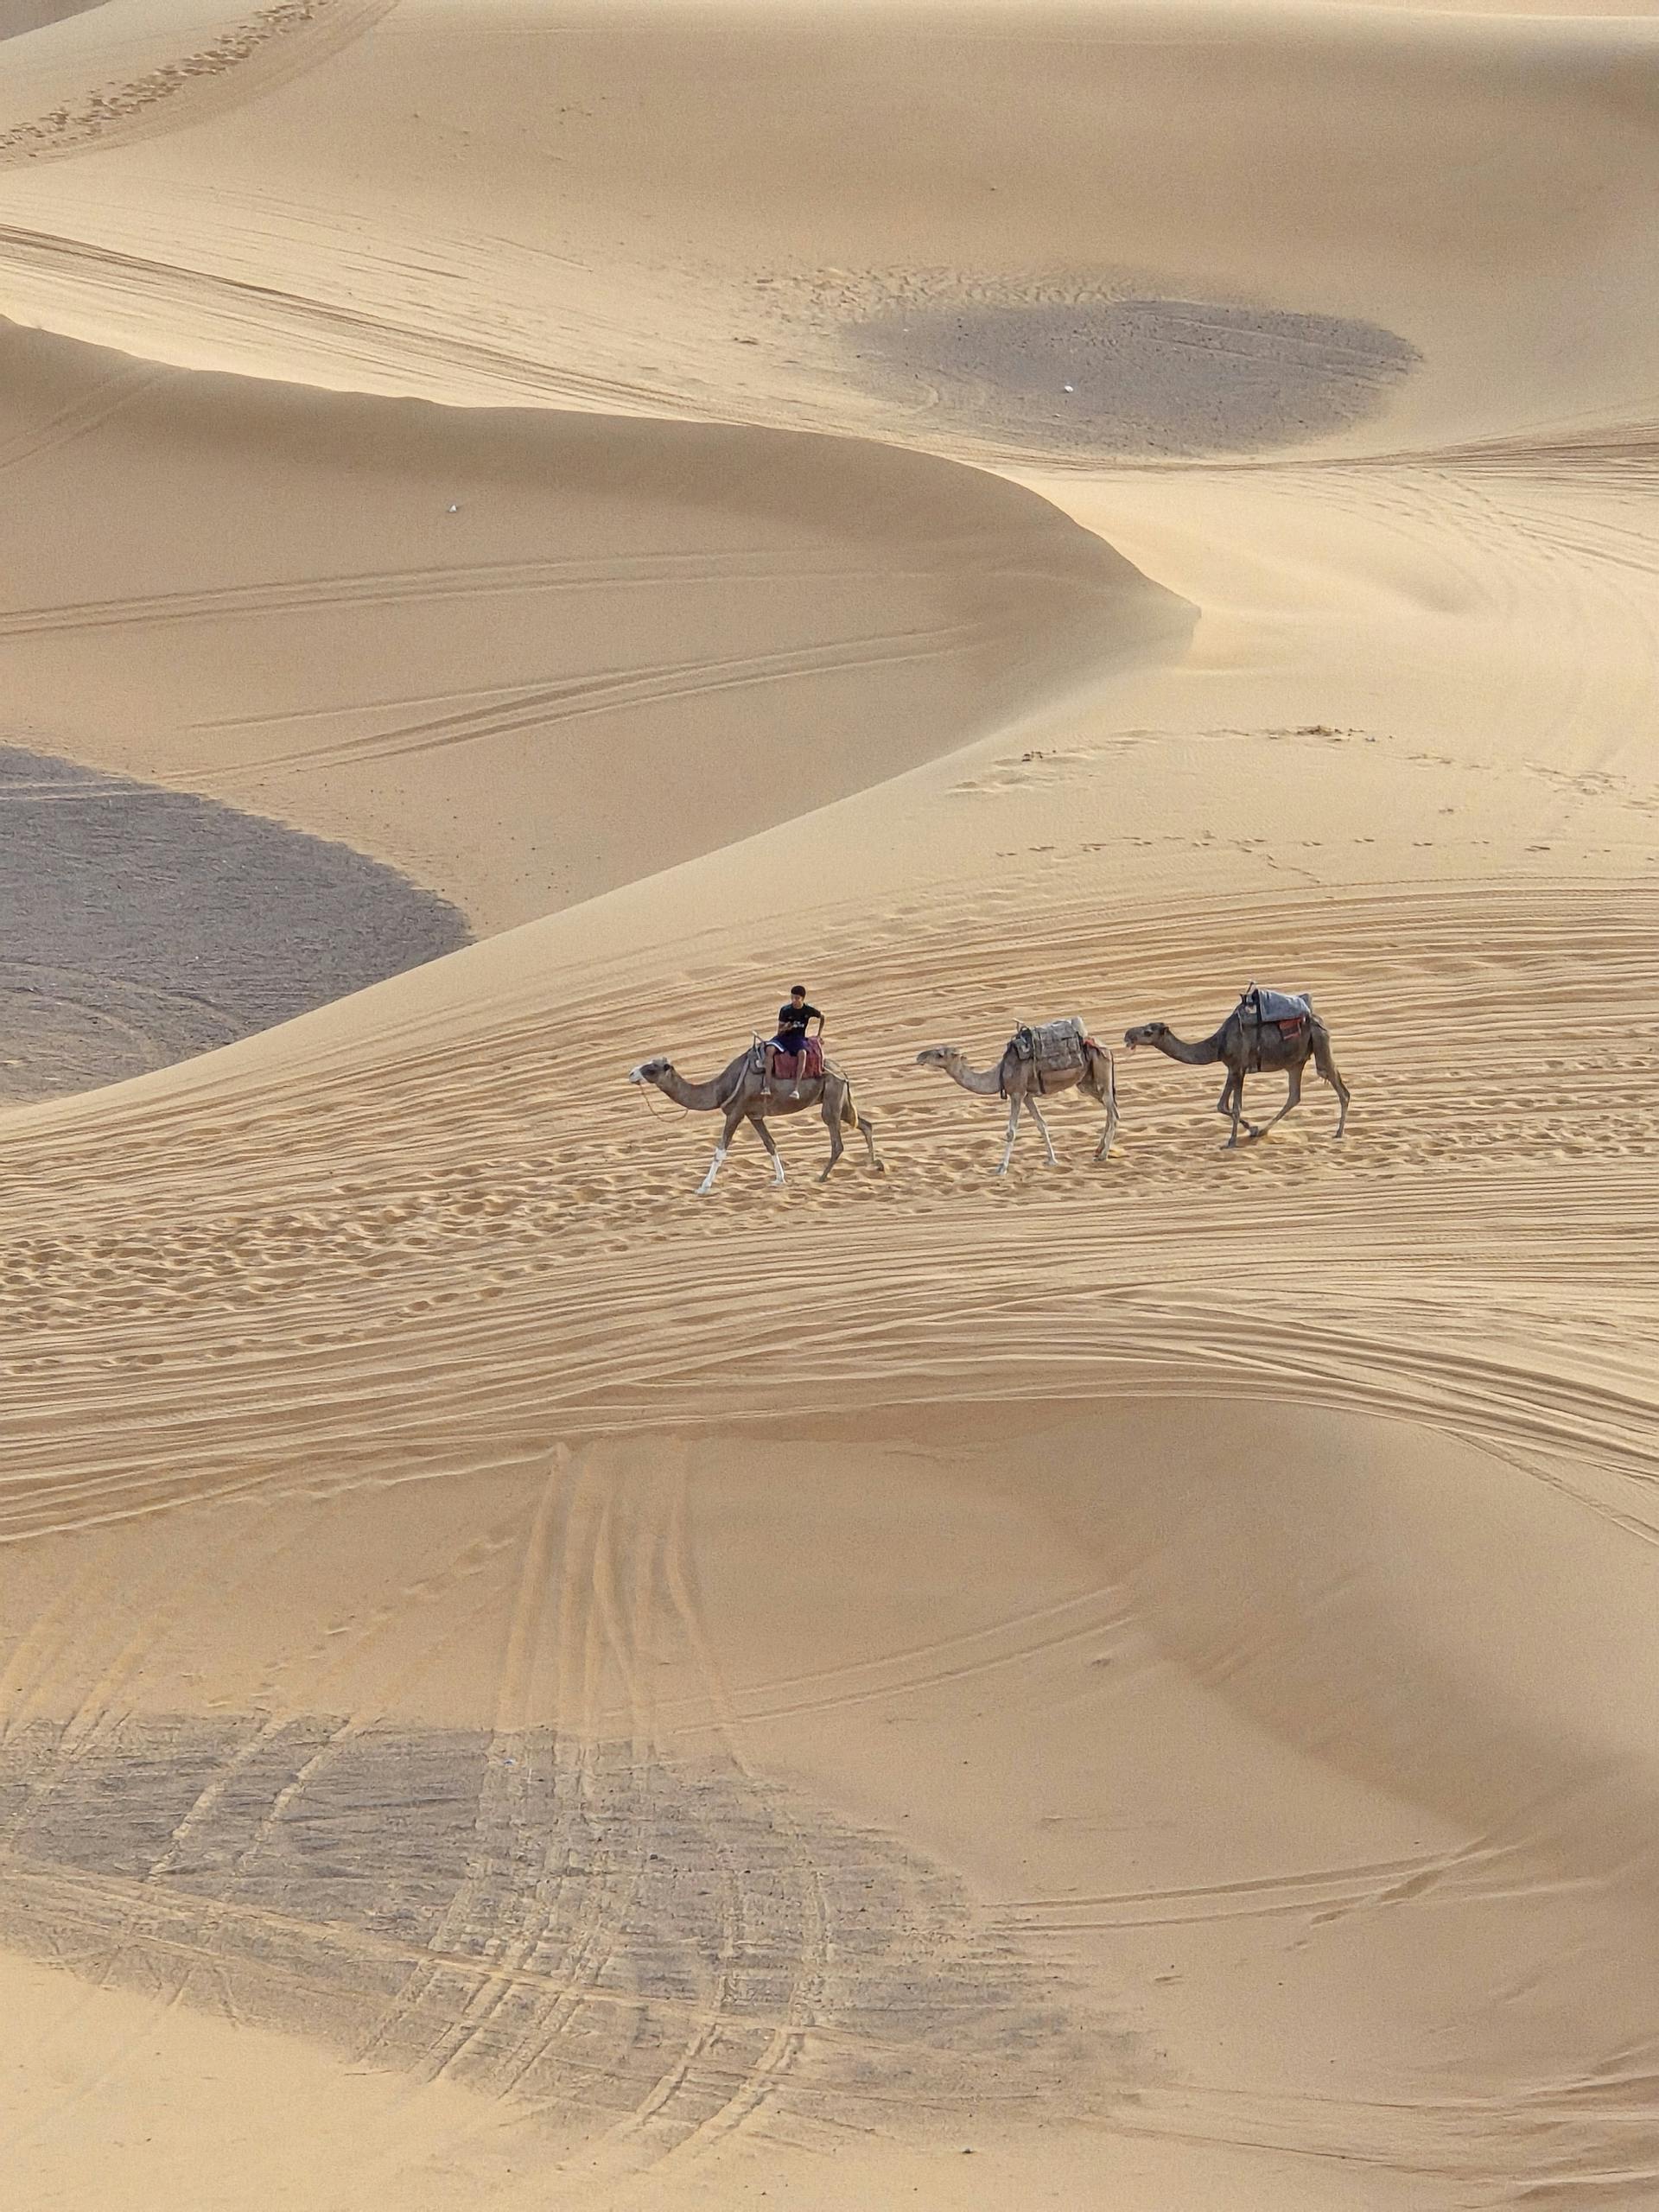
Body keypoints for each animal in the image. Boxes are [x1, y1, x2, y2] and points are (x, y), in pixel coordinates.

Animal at [628, 1044, 882, 1193]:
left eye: (652, 1068)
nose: (631, 1073)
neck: (720, 1088)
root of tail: (842, 1071)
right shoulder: (754, 1115)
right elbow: (771, 1144)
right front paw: (779, 1179)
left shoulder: (736, 1111)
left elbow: (720, 1151)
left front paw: (703, 1187)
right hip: (841, 1100)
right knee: (865, 1124)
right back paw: (875, 1165)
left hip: (831, 1098)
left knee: (838, 1142)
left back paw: (821, 1178)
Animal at [914, 1026, 1119, 1175]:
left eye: (940, 1054)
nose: (919, 1056)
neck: (1000, 1073)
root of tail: (1106, 1048)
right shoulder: (1027, 1095)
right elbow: (1041, 1124)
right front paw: (1052, 1160)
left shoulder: (1017, 1093)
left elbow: (1011, 1132)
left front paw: (1001, 1168)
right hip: (1086, 1082)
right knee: (1109, 1110)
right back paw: (1098, 1150)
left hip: (1102, 1072)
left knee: (1113, 1113)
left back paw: (1103, 1155)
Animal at [1123, 994, 1350, 1147]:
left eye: (1148, 1032)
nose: (1127, 1035)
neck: (1217, 1045)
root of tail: (1317, 1019)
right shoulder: (1232, 1069)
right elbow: (1222, 1105)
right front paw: (1253, 1129)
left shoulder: (1238, 1068)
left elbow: (1234, 1106)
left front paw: (1232, 1141)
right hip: (1295, 1063)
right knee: (1294, 1096)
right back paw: (1264, 1131)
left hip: (1319, 1043)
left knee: (1337, 1084)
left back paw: (1338, 1133)